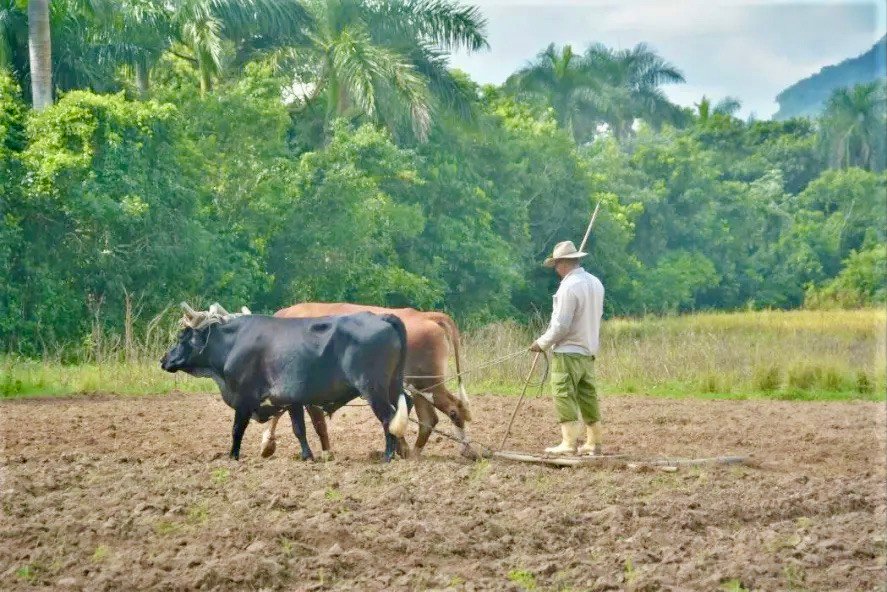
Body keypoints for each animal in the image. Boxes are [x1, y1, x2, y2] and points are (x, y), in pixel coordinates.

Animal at [160, 303, 411, 462]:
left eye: (182, 336)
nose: (164, 359)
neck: (234, 343)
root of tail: (381, 316)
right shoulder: (292, 400)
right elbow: (299, 429)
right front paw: (307, 456)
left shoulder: (244, 397)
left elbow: (236, 429)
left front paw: (232, 456)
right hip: (393, 385)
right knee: (405, 406)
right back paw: (403, 450)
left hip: (373, 388)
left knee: (388, 418)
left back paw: (388, 455)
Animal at [258, 303, 473, 459]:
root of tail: (426, 316)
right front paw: (268, 445)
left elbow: (314, 423)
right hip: (416, 387)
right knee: (429, 419)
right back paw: (414, 452)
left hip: (425, 383)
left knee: (453, 409)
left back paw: (465, 449)